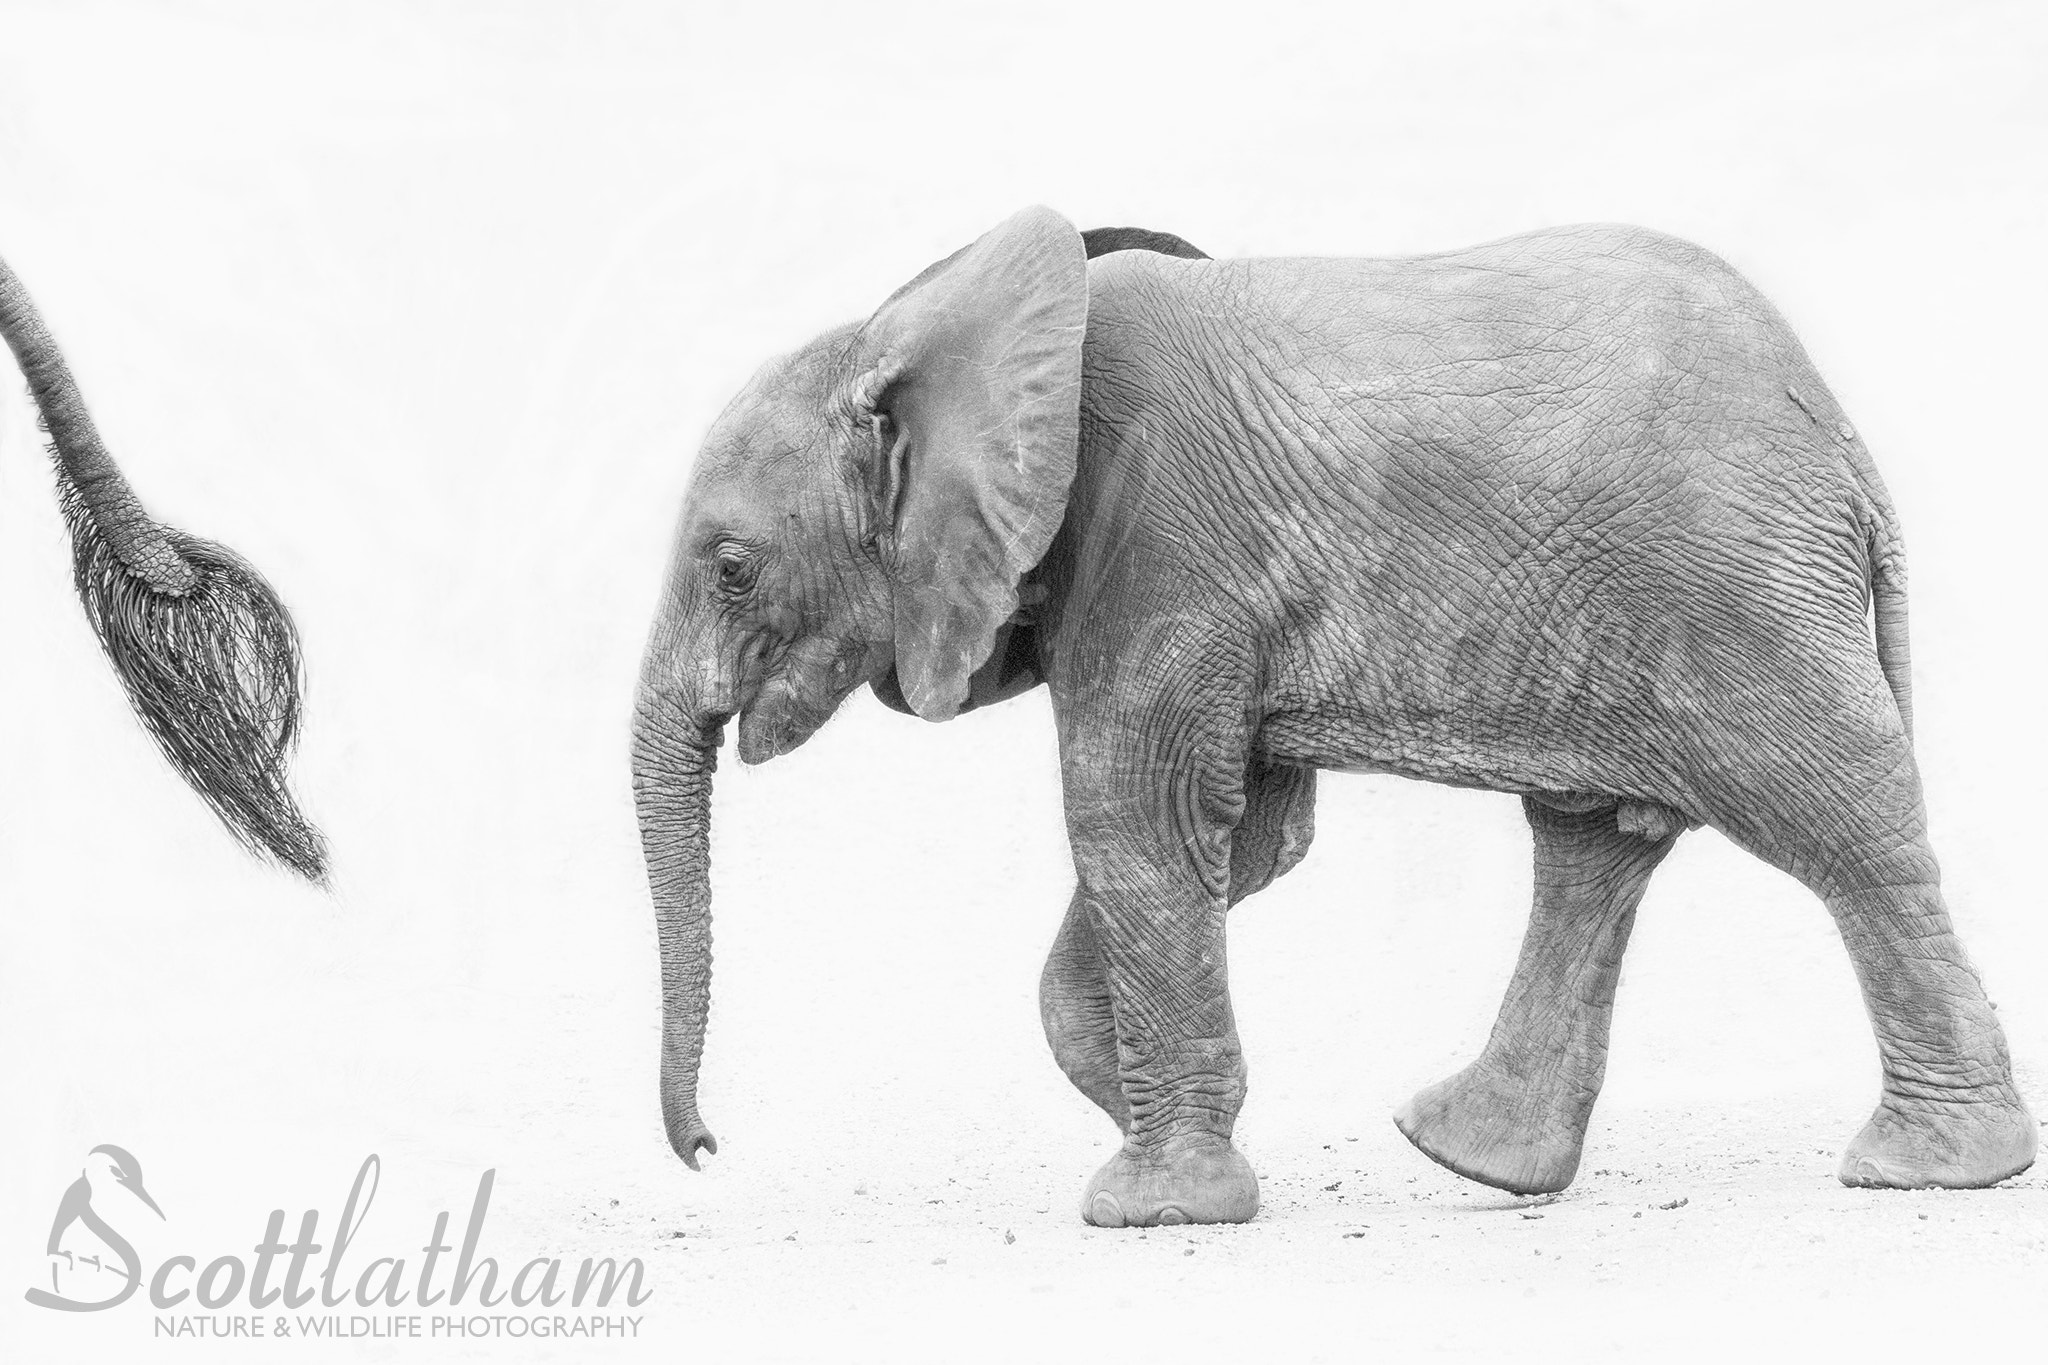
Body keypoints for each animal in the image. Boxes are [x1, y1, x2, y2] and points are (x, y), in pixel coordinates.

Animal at [630, 208, 2039, 1236]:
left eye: (731, 569)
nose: (705, 1150)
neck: (940, 325)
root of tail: (1847, 452)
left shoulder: (1160, 548)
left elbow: (1135, 822)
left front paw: (1152, 1208)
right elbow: (1236, 842)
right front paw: (1147, 1114)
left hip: (1739, 598)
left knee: (1838, 829)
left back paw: (1927, 1173)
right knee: (1593, 846)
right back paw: (1476, 1162)